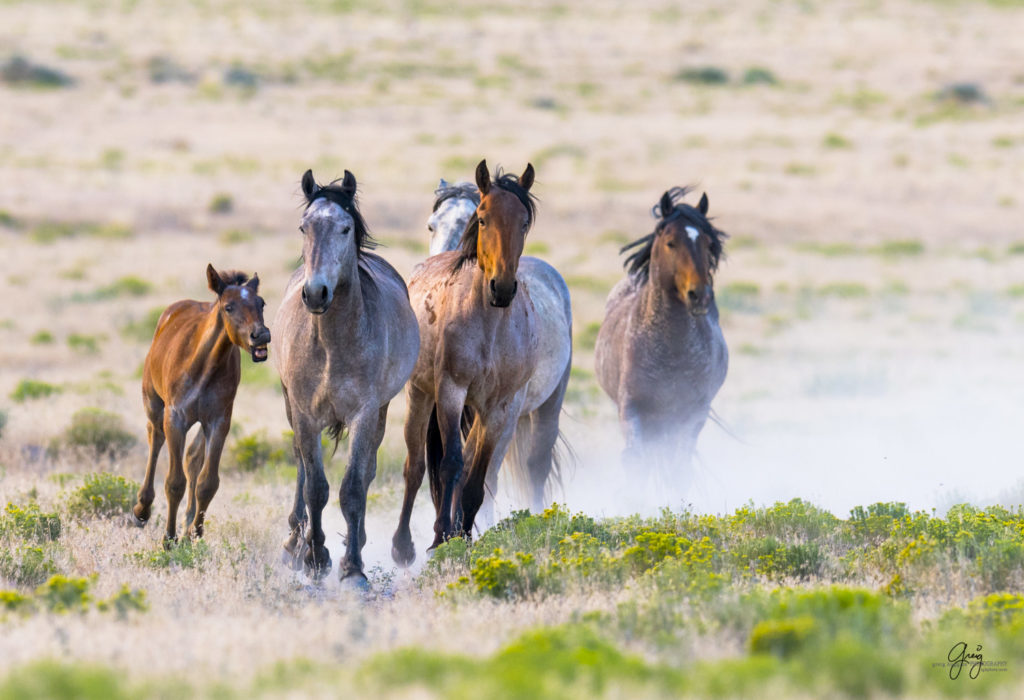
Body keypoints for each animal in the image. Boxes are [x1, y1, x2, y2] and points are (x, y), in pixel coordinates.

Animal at [132, 261, 272, 540]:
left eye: (261, 303)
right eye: (229, 307)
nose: (261, 335)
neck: (205, 365)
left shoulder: (218, 422)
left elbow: (207, 482)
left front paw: (193, 532)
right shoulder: (175, 419)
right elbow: (174, 482)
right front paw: (169, 538)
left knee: (192, 457)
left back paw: (187, 523)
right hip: (153, 403)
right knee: (155, 438)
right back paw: (142, 508)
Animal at [276, 167, 419, 581]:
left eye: (344, 228)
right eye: (304, 227)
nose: (315, 294)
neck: (332, 343)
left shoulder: (365, 413)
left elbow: (353, 487)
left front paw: (352, 568)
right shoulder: (304, 413)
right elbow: (315, 486)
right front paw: (314, 557)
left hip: (381, 414)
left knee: (367, 470)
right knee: (300, 466)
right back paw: (295, 542)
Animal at [593, 186, 729, 497]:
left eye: (707, 243)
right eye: (671, 242)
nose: (700, 295)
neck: (670, 349)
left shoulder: (692, 414)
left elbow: (679, 469)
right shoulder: (632, 408)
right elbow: (636, 463)